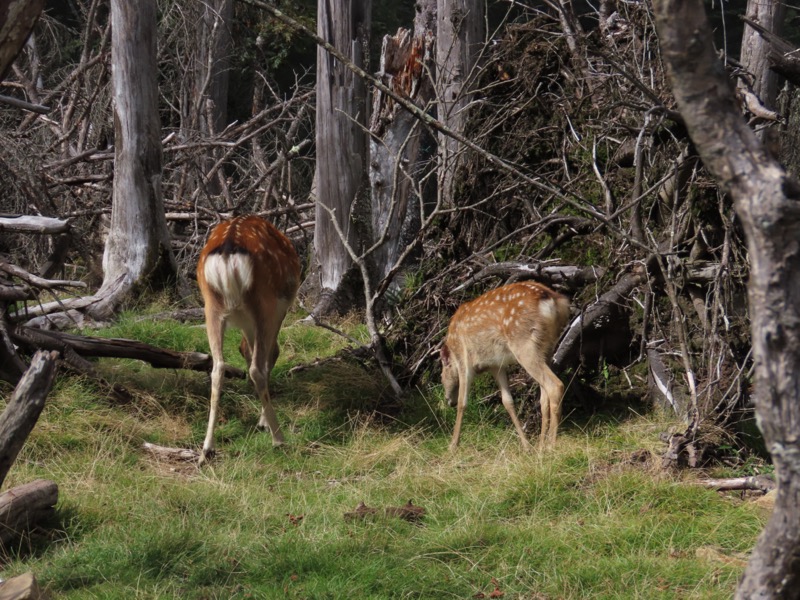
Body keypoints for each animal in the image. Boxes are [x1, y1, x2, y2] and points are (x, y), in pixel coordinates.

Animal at [195, 214, 302, 464]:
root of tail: (227, 252)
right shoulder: (278, 308)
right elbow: (270, 355)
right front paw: (263, 421)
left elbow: (247, 350)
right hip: (264, 302)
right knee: (257, 367)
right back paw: (279, 438)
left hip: (211, 307)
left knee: (218, 367)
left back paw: (206, 449)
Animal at [440, 280, 572, 450]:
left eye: (441, 376)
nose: (449, 401)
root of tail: (553, 301)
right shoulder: (497, 365)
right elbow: (507, 401)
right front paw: (525, 445)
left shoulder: (463, 359)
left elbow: (463, 402)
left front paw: (452, 445)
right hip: (547, 348)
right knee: (544, 397)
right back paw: (541, 445)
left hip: (523, 344)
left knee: (555, 385)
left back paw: (550, 445)